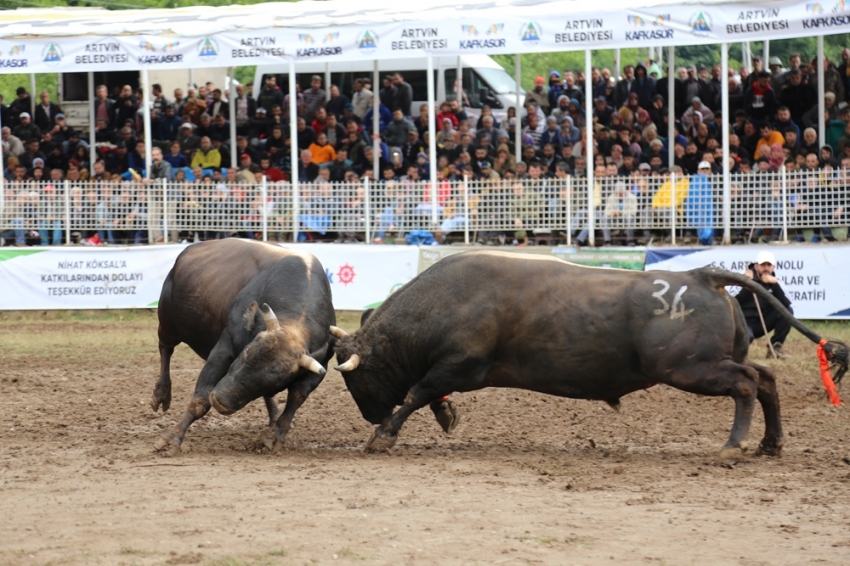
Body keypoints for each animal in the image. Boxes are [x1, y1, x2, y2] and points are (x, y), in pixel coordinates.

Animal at [151, 240, 336, 458]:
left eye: (275, 382)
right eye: (246, 352)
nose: (221, 400)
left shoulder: (317, 369)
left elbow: (296, 398)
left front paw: (276, 434)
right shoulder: (224, 348)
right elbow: (200, 400)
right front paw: (172, 439)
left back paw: (273, 416)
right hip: (168, 324)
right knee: (165, 349)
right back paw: (161, 393)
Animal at [332, 251, 848, 460]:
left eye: (356, 378)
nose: (369, 414)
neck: (445, 300)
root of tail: (700, 275)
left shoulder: (461, 364)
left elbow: (417, 392)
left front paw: (384, 434)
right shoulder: (452, 369)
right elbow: (428, 393)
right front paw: (442, 416)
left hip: (689, 369)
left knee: (746, 384)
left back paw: (733, 445)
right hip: (710, 362)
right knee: (765, 379)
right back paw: (769, 444)